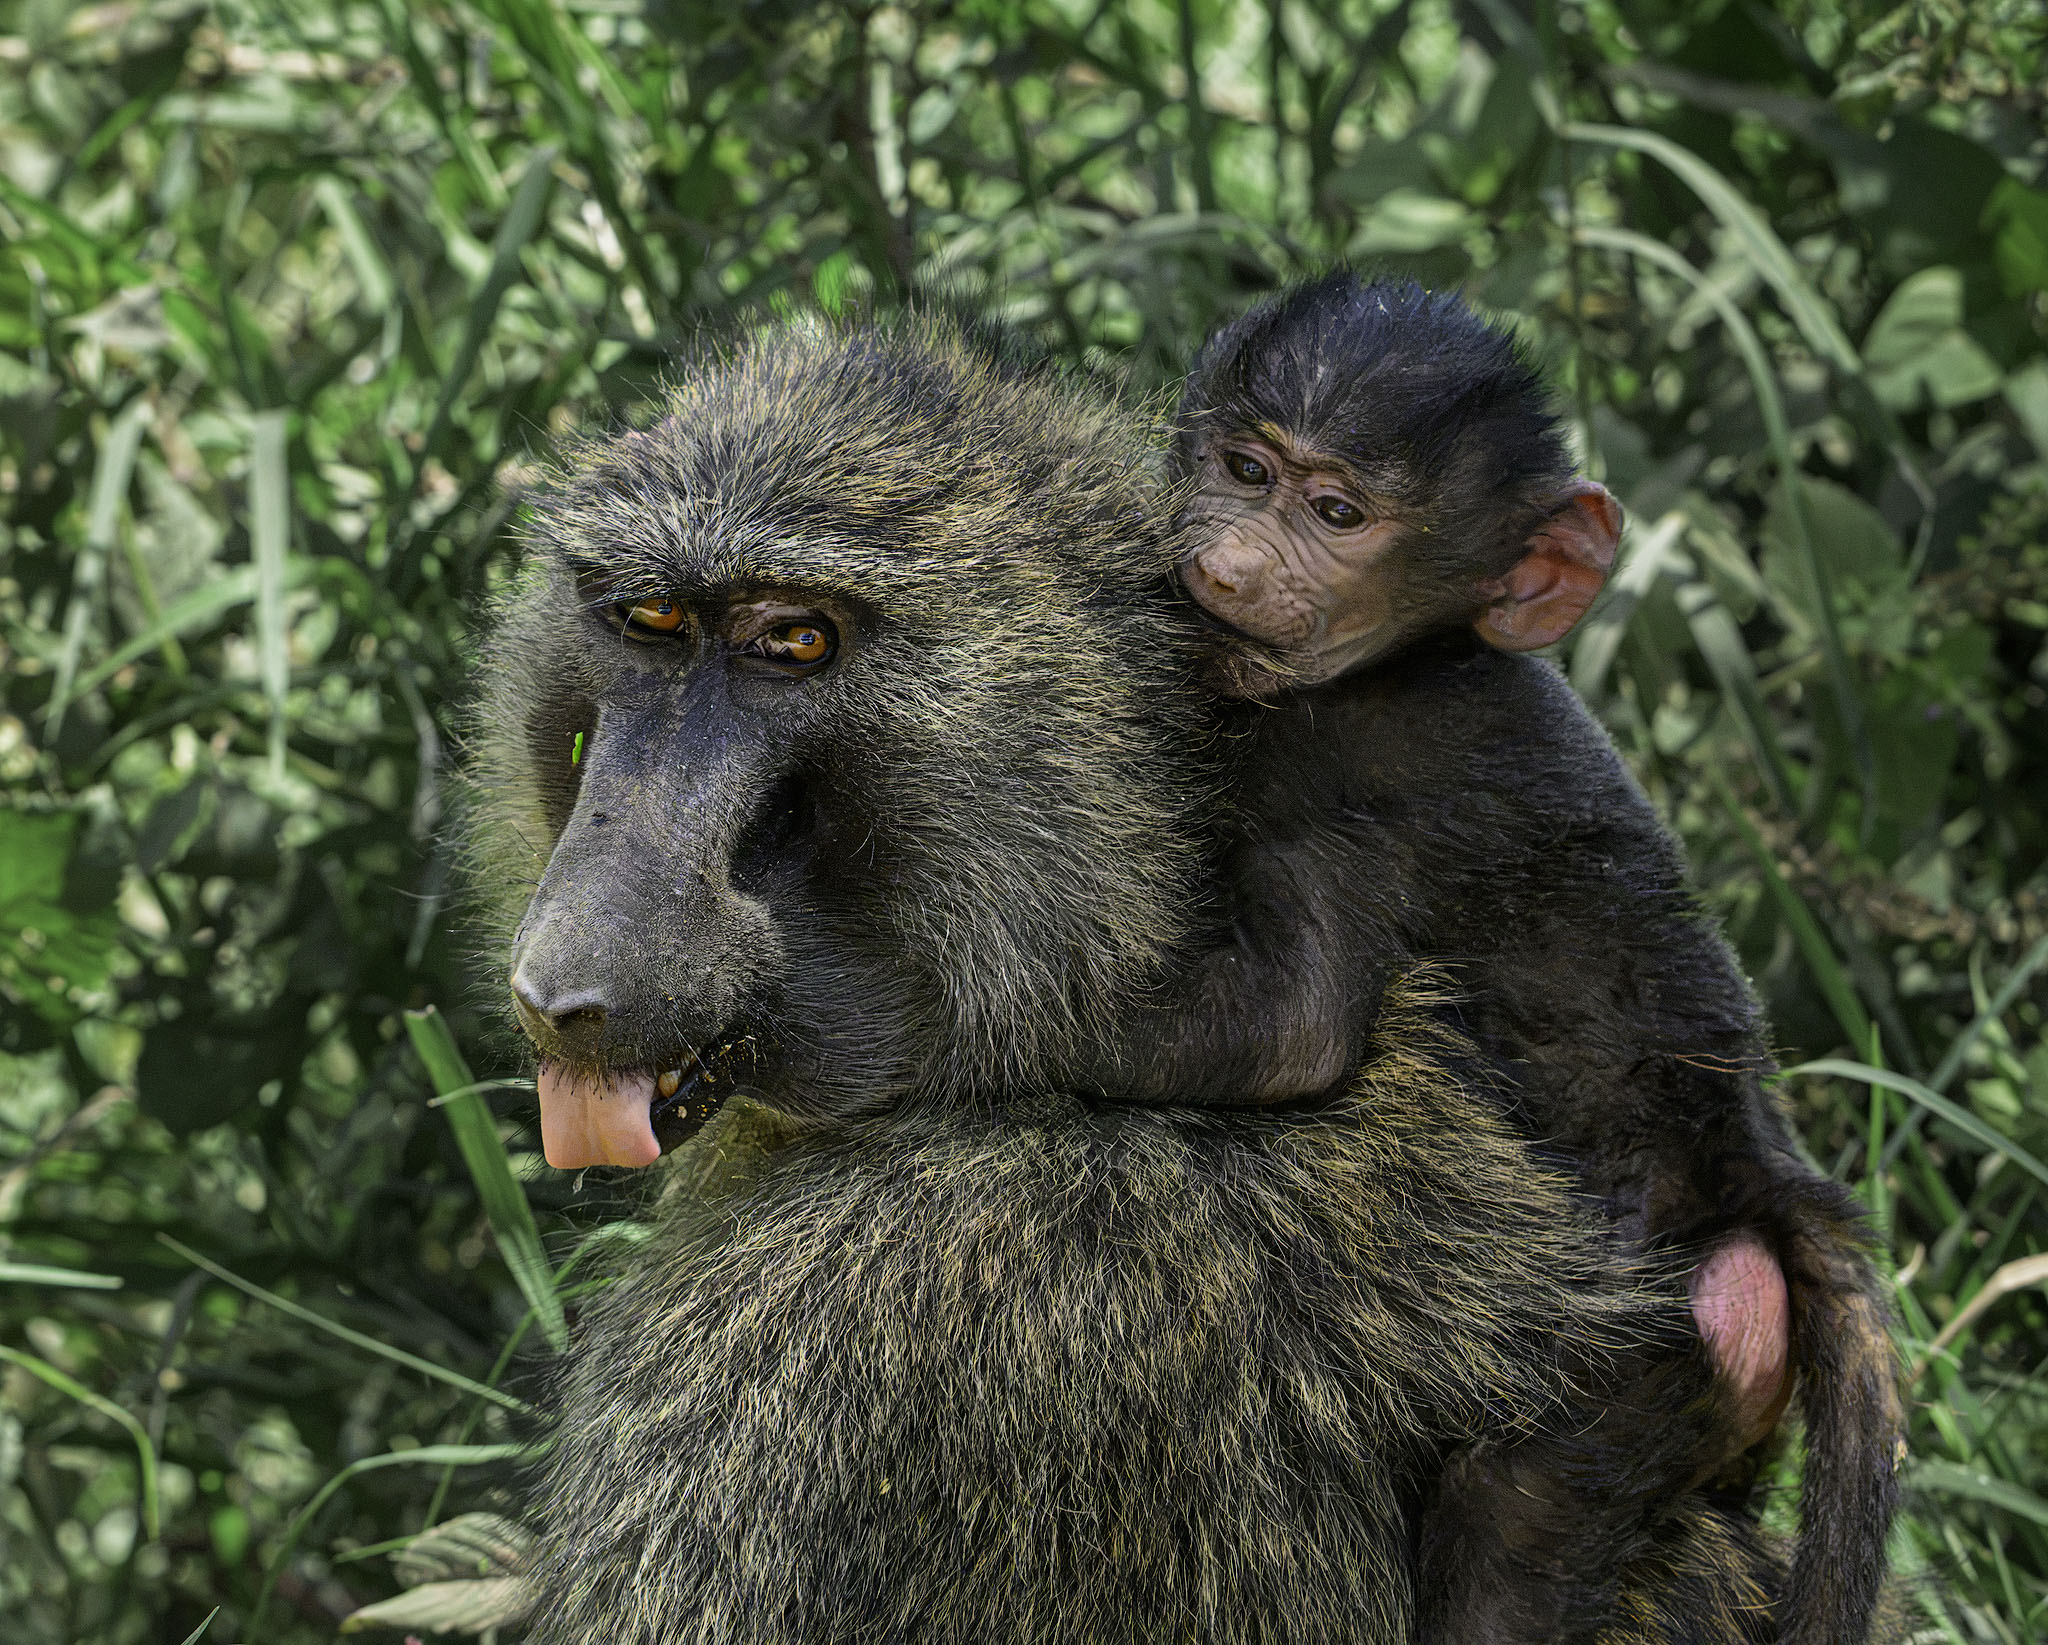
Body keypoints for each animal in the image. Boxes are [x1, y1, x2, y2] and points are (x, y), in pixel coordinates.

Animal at [1076, 272, 1903, 1645]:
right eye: (1245, 467)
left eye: (1336, 514)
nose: (1226, 562)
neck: (1419, 654)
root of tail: (1750, 1162)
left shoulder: (1355, 780)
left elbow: (1291, 1031)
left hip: (1660, 1328)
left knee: (1513, 1513)